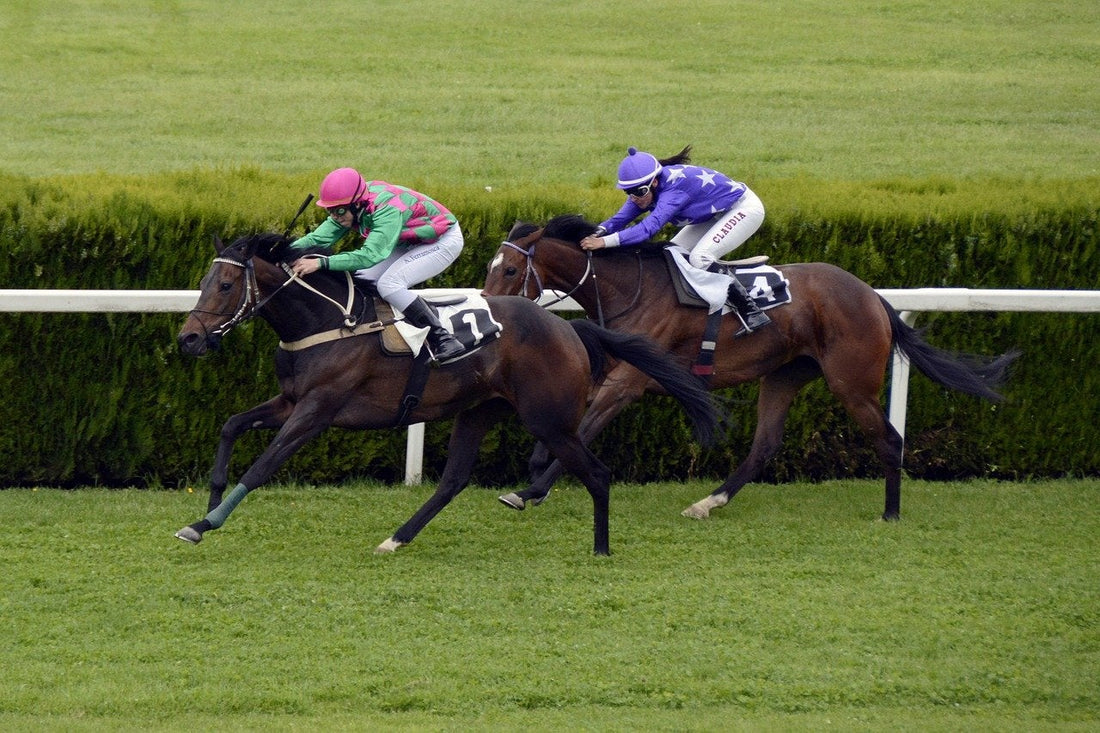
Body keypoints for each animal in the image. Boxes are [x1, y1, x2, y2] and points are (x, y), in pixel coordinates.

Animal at [176, 232, 717, 554]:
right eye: (203, 280)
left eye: (225, 285)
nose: (189, 340)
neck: (329, 321)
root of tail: (570, 329)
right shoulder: (290, 401)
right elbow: (230, 426)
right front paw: (211, 497)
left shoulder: (316, 411)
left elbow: (263, 465)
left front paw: (204, 524)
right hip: (478, 409)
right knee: (452, 481)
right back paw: (396, 539)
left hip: (548, 419)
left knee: (598, 474)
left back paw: (601, 548)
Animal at [486, 212, 1016, 519]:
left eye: (509, 269)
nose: (492, 312)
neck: (630, 289)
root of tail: (872, 296)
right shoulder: (605, 373)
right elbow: (562, 427)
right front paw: (536, 474)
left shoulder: (627, 382)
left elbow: (585, 428)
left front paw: (528, 491)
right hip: (784, 373)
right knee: (765, 444)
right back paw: (710, 501)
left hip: (852, 381)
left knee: (889, 439)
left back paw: (890, 514)